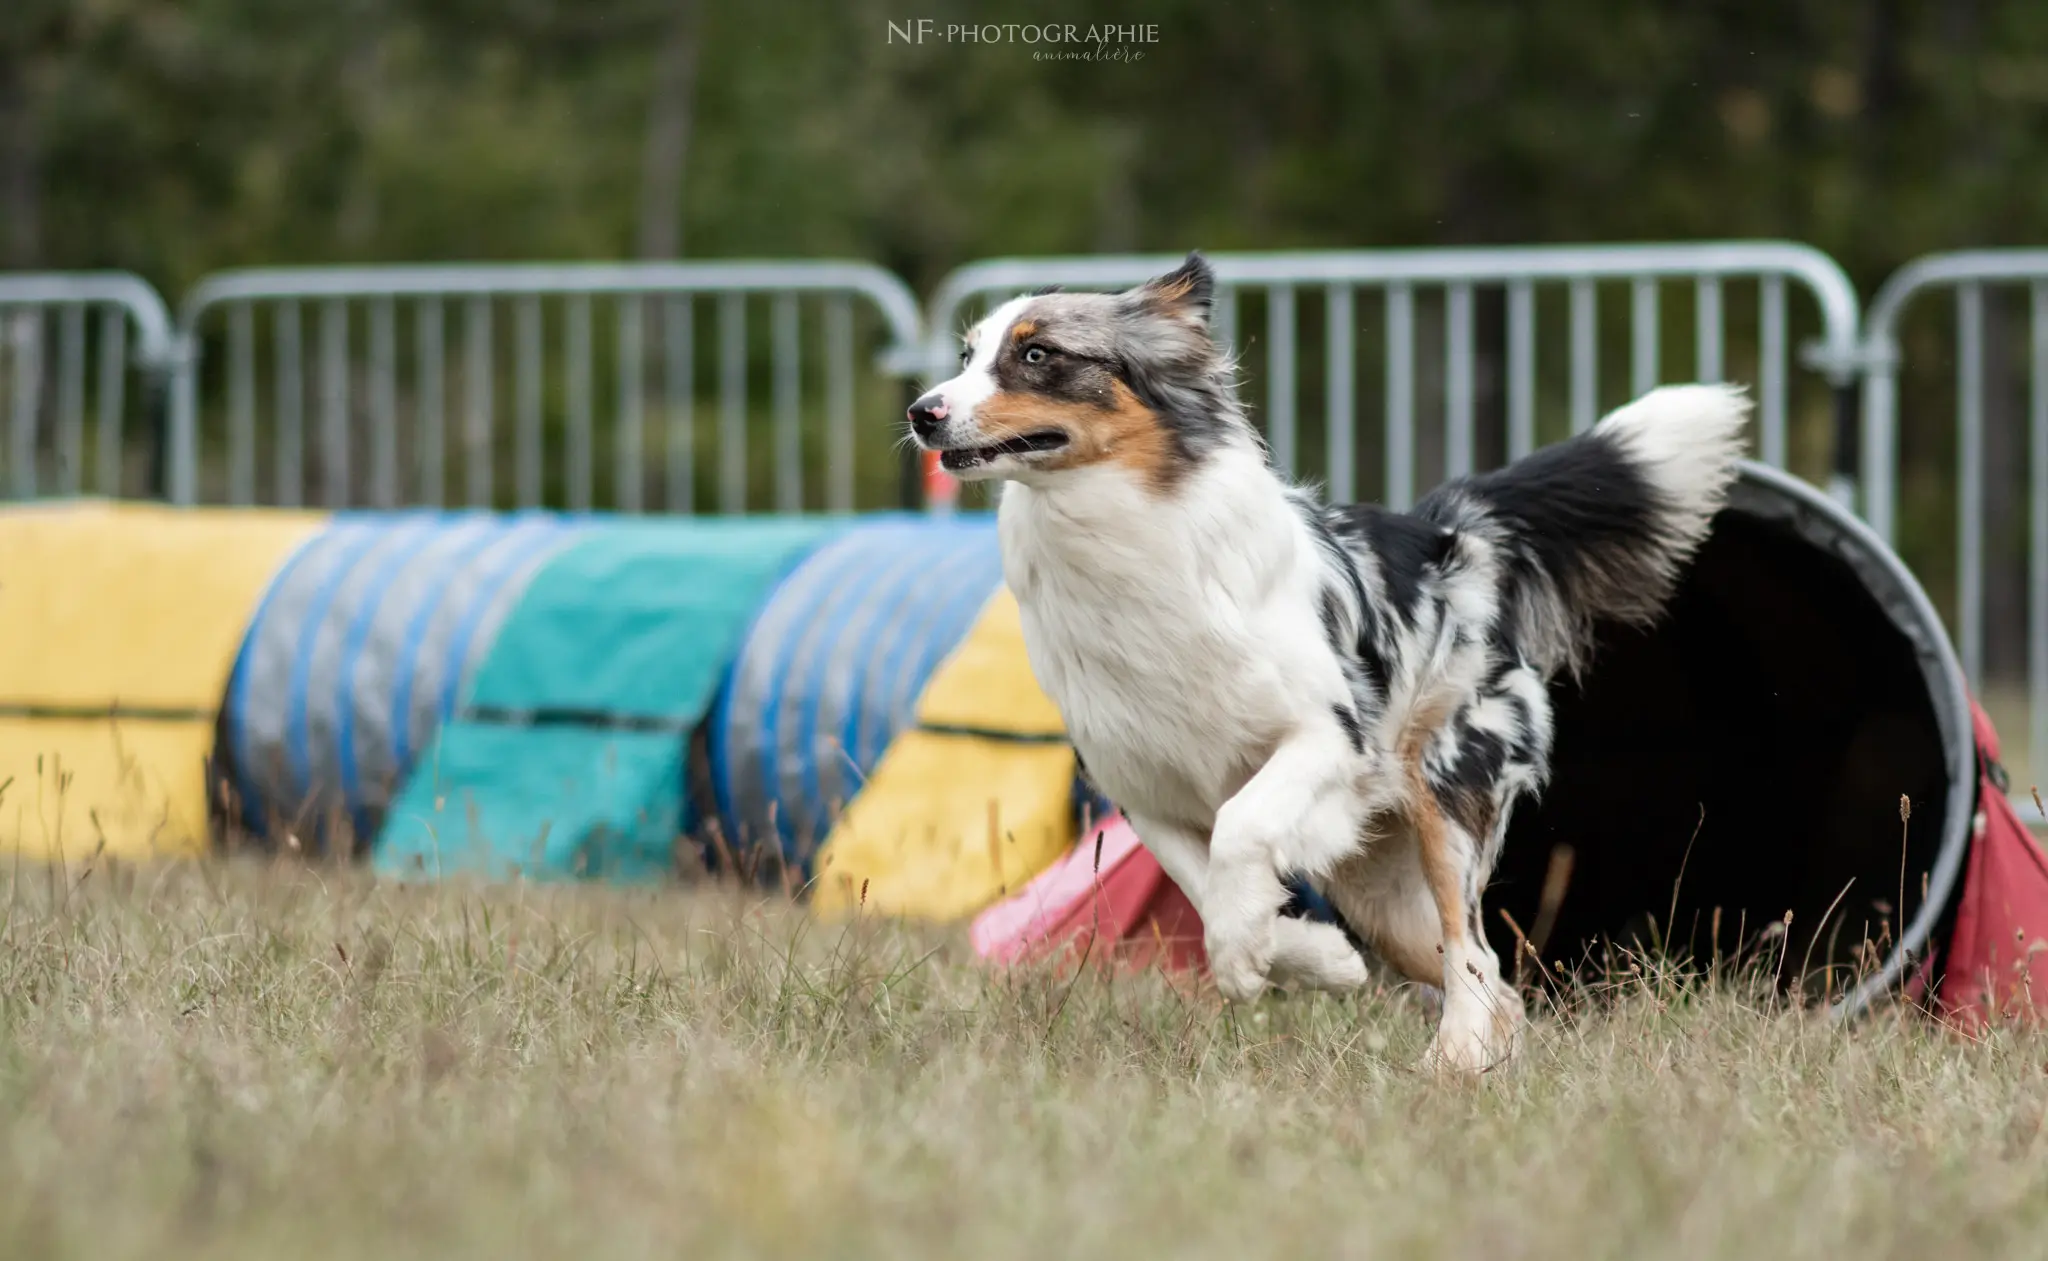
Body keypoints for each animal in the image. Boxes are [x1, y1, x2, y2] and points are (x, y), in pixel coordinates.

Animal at [909, 255, 1744, 1072]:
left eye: (1037, 354)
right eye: (966, 355)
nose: (923, 411)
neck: (1114, 522)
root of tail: (1453, 534)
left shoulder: (1330, 738)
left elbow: (1240, 828)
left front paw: (1244, 954)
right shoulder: (1142, 783)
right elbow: (1205, 883)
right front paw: (1309, 957)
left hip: (1445, 787)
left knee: (1471, 949)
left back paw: (1453, 1057)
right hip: (1378, 888)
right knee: (1489, 976)